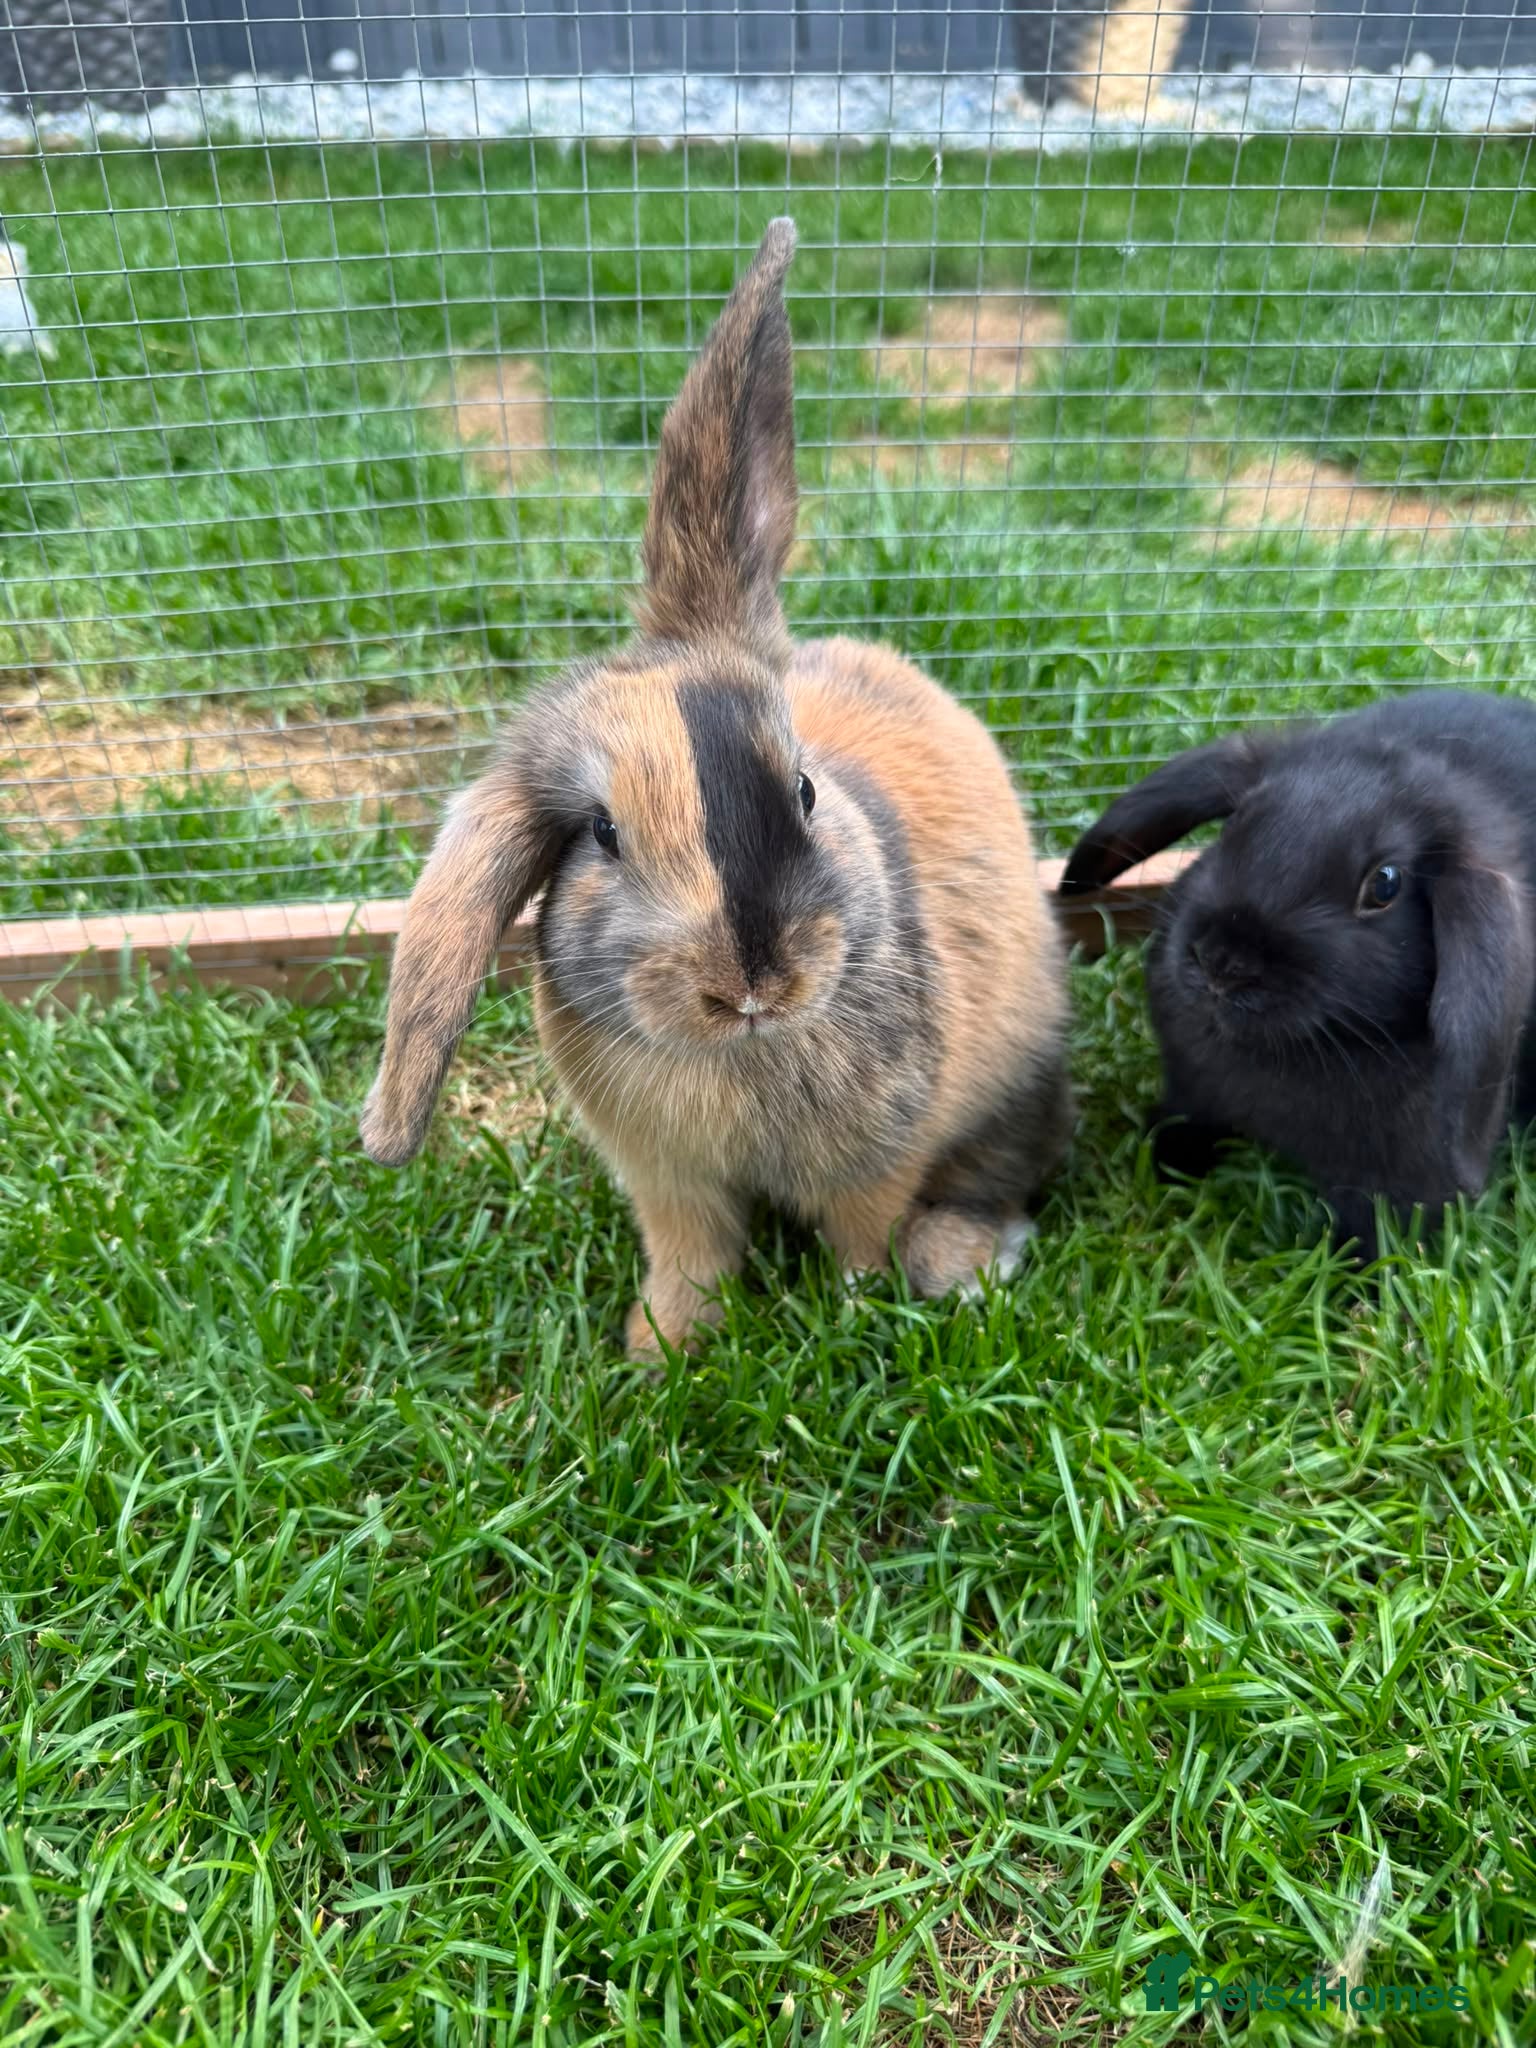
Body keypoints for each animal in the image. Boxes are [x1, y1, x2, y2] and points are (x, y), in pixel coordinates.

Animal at [361, 219, 1073, 1357]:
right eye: (603, 833)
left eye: (806, 791)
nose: (752, 984)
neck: (739, 1057)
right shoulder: (668, 1183)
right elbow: (691, 1255)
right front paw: (661, 1351)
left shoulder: (878, 1163)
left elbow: (861, 1239)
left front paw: (856, 1317)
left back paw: (957, 1263)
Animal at [1060, 689, 1536, 1263]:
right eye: (1237, 821)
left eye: (1385, 885)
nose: (1222, 960)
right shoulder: (1190, 1091)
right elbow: (1186, 1120)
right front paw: (1165, 1162)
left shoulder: (1405, 1185)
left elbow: (1381, 1237)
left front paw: (1351, 1278)